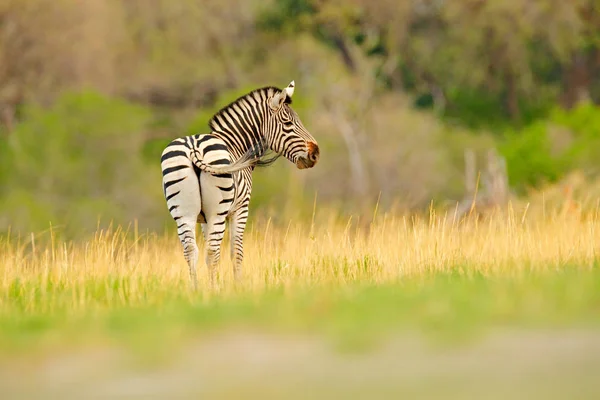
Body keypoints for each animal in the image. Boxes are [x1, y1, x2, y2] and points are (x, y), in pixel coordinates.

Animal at [159, 81, 318, 290]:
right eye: (288, 124)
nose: (315, 153)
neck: (235, 143)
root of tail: (194, 147)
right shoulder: (241, 209)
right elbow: (236, 252)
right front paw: (238, 287)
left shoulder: (204, 219)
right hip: (218, 211)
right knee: (212, 251)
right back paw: (214, 290)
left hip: (183, 213)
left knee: (191, 251)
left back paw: (195, 290)